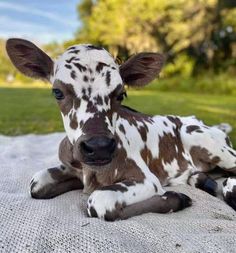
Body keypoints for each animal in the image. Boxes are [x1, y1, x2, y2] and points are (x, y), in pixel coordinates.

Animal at [6, 38, 235, 220]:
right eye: (57, 92)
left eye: (121, 94)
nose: (98, 146)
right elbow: (36, 184)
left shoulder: (146, 180)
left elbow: (99, 201)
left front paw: (177, 198)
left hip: (205, 142)